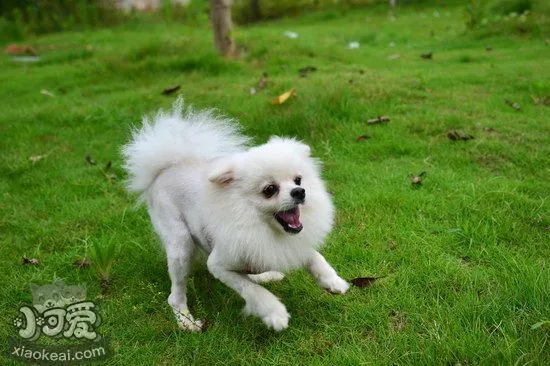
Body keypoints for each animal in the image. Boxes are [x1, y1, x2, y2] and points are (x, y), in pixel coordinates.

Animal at [124, 99, 350, 332]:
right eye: (269, 190)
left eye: (298, 180)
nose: (299, 192)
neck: (258, 225)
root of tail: (167, 167)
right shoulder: (218, 265)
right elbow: (251, 291)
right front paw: (274, 313)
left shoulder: (288, 244)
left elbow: (314, 256)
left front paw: (332, 281)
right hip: (181, 245)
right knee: (175, 293)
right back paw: (186, 320)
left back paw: (266, 274)